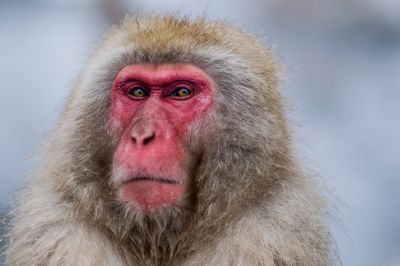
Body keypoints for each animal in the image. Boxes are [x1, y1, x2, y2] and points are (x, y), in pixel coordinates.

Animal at [3, 15, 334, 264]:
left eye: (181, 92)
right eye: (137, 92)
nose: (142, 135)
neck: (159, 242)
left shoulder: (271, 233)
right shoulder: (58, 233)